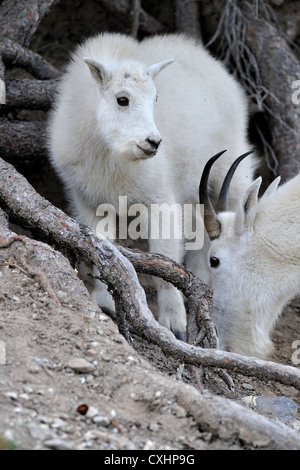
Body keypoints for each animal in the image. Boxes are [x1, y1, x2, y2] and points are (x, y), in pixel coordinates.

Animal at [48, 33, 255, 342]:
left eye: (155, 98)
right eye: (122, 99)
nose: (153, 142)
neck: (109, 150)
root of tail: (214, 63)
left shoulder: (160, 198)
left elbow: (166, 256)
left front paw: (175, 325)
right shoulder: (89, 200)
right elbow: (101, 248)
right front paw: (105, 302)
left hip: (231, 169)